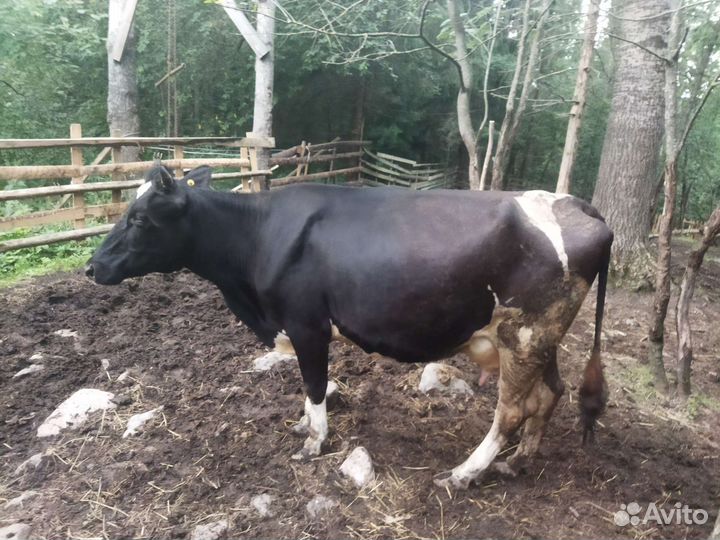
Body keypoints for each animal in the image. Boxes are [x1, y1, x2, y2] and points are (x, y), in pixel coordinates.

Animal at [86, 164, 613, 490]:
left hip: (524, 334)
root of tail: (577, 204)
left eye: (138, 218)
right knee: (549, 394)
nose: (92, 267)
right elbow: (308, 389)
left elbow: (315, 384)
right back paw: (518, 462)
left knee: (510, 411)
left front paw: (314, 441)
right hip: (540, 337)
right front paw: (303, 426)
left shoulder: (306, 325)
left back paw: (465, 473)